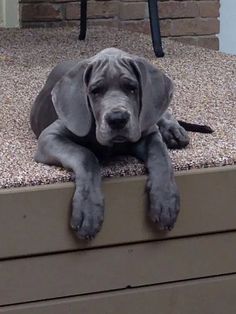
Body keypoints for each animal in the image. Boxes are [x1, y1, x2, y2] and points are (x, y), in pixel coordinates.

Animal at [30, 47, 192, 239]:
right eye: (95, 91)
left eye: (132, 88)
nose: (117, 119)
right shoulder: (49, 137)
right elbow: (85, 155)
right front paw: (88, 209)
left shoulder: (148, 133)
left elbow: (161, 156)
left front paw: (166, 200)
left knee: (160, 113)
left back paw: (174, 130)